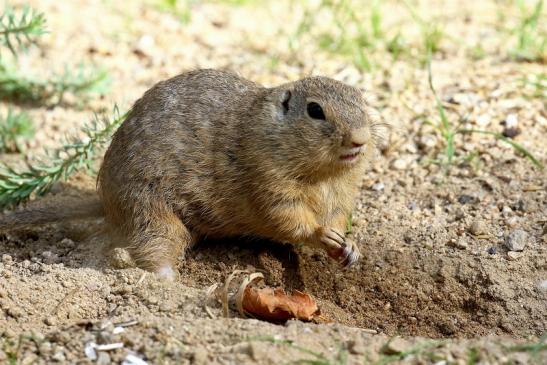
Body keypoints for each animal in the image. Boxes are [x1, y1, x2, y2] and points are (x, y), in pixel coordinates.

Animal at [0, 69, 384, 278]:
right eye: (315, 110)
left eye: (362, 99)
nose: (361, 140)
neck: (323, 176)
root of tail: (105, 201)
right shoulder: (268, 181)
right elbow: (288, 219)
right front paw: (322, 235)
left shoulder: (342, 194)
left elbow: (338, 218)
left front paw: (348, 248)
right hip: (151, 210)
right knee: (153, 247)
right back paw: (167, 279)